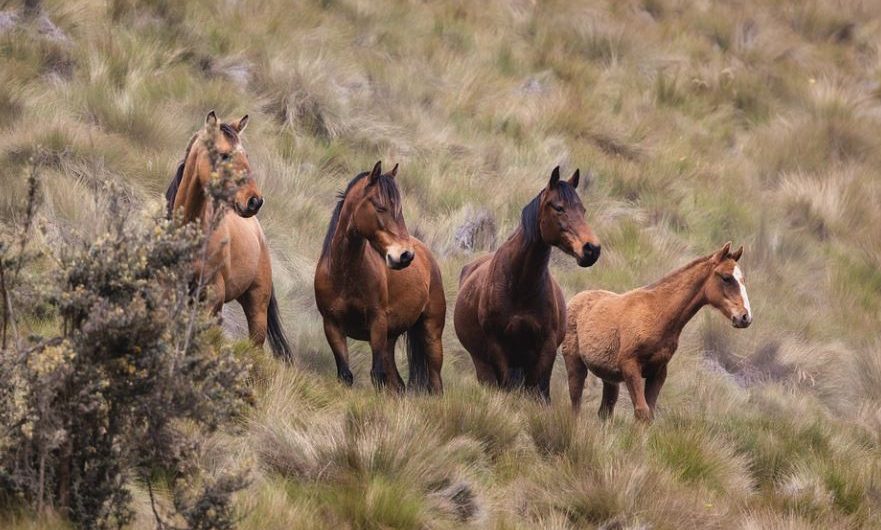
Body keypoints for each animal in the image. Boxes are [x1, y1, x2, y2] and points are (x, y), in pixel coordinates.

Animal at [314, 161, 446, 393]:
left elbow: (377, 375)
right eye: (380, 207)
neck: (343, 275)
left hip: (431, 334)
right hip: (389, 340)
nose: (405, 255)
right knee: (397, 384)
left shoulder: (377, 323)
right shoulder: (332, 326)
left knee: (435, 383)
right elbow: (346, 375)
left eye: (399, 210)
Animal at [453, 167, 601, 401]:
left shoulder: (546, 347)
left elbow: (536, 390)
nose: (591, 249)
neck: (520, 286)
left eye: (583, 210)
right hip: (482, 363)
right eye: (559, 207)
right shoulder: (497, 346)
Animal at [561, 242, 752, 422]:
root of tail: (575, 299)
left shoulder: (658, 372)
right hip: (575, 363)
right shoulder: (630, 366)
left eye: (743, 279)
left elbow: (649, 414)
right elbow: (642, 412)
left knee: (604, 412)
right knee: (576, 404)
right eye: (726, 278)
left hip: (609, 377)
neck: (658, 314)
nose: (745, 317)